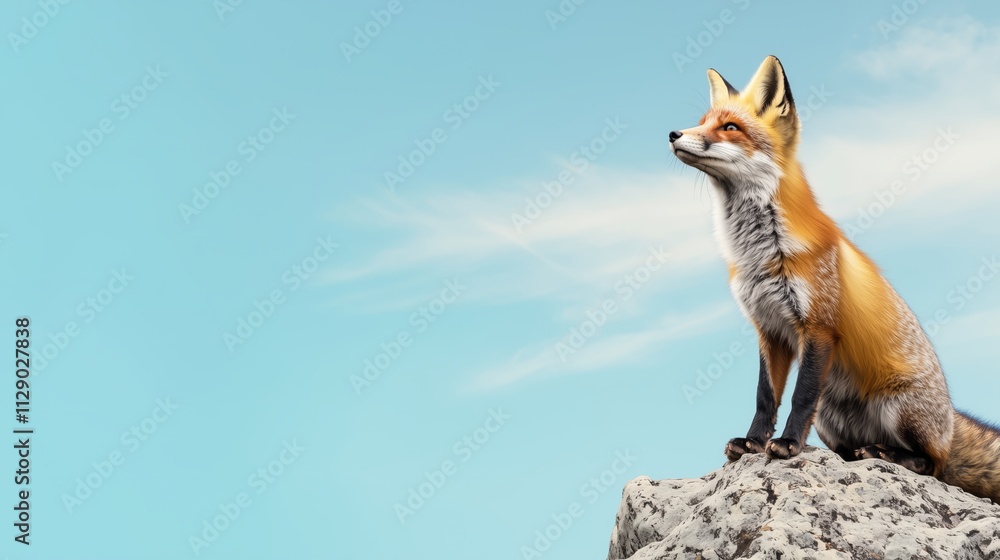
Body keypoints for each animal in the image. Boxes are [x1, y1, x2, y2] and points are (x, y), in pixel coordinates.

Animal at [668, 55, 1000, 502]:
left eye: (730, 128)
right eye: (701, 122)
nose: (673, 134)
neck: (759, 251)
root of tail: (947, 422)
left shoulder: (818, 327)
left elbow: (799, 396)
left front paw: (787, 445)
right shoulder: (768, 330)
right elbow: (765, 397)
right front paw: (753, 442)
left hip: (898, 409)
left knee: (932, 465)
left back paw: (888, 454)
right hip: (831, 416)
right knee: (849, 449)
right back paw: (855, 454)